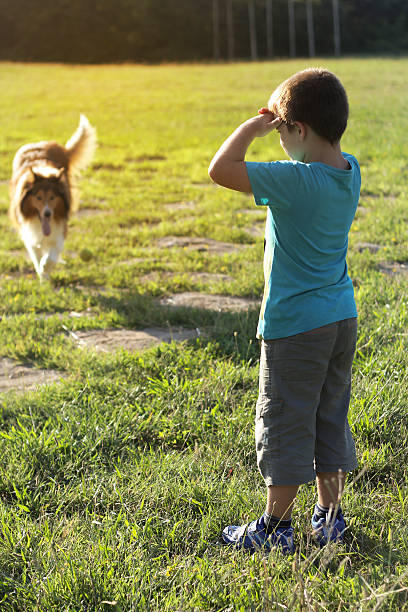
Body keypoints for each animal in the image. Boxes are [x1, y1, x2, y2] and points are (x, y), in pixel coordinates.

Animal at [9, 115, 97, 280]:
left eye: (52, 197)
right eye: (38, 197)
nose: (47, 213)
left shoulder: (59, 230)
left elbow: (52, 256)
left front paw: (46, 267)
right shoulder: (29, 233)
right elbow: (36, 256)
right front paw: (42, 276)